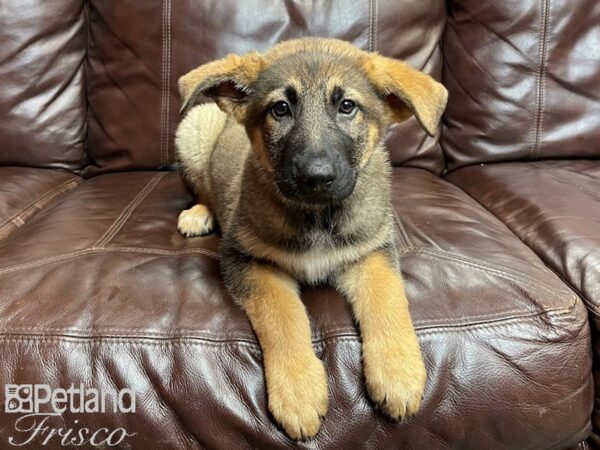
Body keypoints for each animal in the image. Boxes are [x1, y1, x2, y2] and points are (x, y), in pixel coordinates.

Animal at [173, 38, 446, 440]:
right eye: (280, 109)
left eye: (347, 106)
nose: (316, 177)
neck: (317, 216)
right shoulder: (247, 259)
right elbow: (282, 315)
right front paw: (298, 391)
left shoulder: (372, 251)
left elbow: (388, 298)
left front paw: (398, 371)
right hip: (195, 126)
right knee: (204, 187)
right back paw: (200, 213)